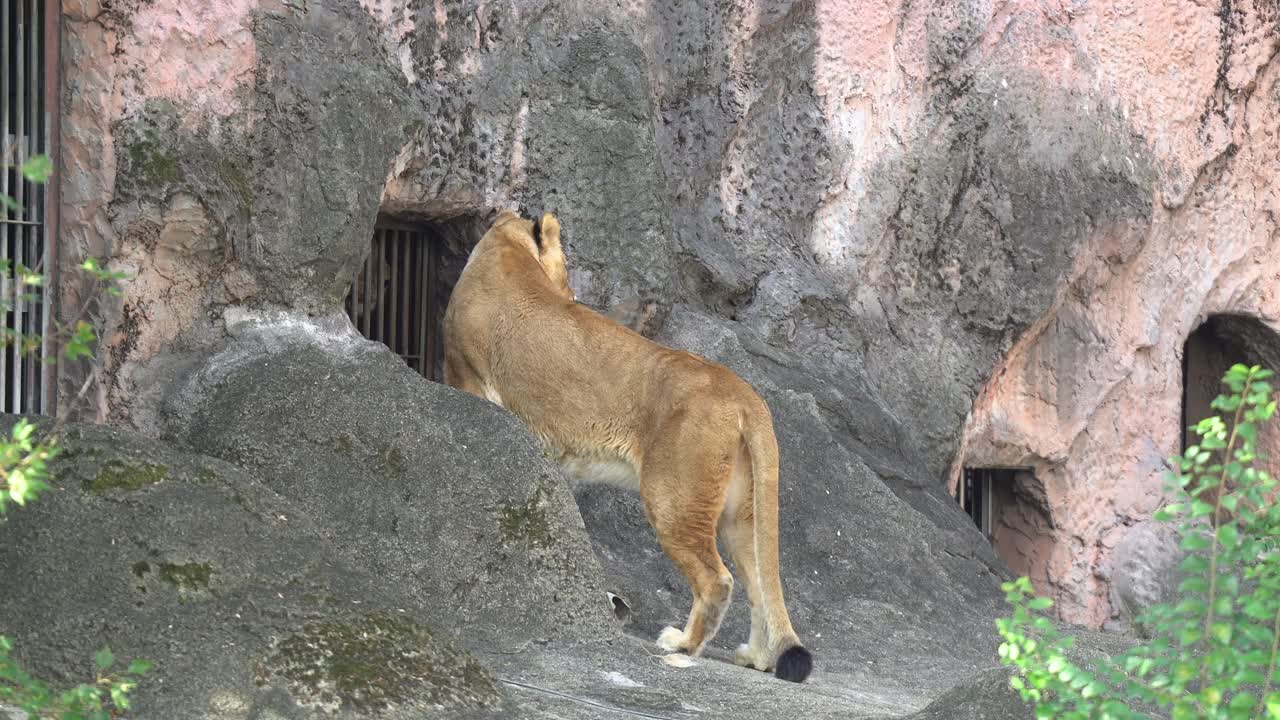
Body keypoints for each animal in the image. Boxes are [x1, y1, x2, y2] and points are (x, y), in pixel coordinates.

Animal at [442, 210, 813, 683]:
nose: (574, 294)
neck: (506, 251)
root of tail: (743, 392)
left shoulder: (465, 377)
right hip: (740, 513)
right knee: (759, 581)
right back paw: (758, 657)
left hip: (673, 498)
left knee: (717, 580)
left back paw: (683, 644)